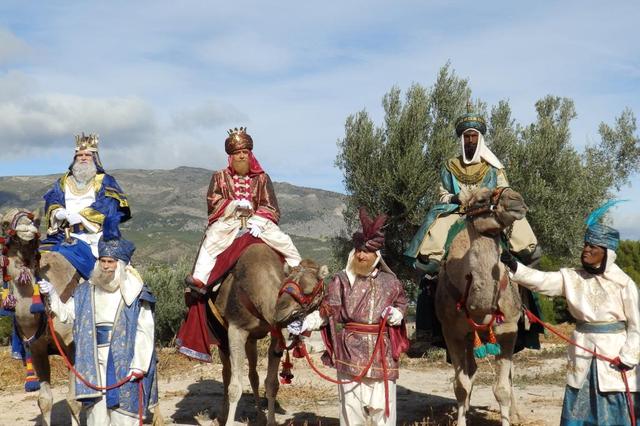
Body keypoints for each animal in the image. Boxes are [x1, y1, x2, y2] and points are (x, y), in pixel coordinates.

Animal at [0, 209, 81, 426]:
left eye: (36, 220)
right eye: (4, 223)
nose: (27, 227)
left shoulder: (71, 344)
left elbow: (74, 400)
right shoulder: (36, 348)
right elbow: (44, 400)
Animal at [211, 243, 330, 426]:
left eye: (309, 291)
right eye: (284, 284)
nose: (280, 311)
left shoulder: (276, 332)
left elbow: (272, 383)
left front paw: (271, 421)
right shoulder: (236, 329)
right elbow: (235, 387)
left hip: (252, 339)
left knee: (253, 374)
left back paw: (260, 416)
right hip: (222, 334)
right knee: (226, 372)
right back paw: (222, 416)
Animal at [436, 188, 528, 424]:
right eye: (480, 200)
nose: (518, 201)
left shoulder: (508, 328)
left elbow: (502, 388)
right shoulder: (451, 332)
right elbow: (460, 385)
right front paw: (460, 419)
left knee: (510, 376)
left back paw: (516, 414)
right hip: (469, 336)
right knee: (471, 370)